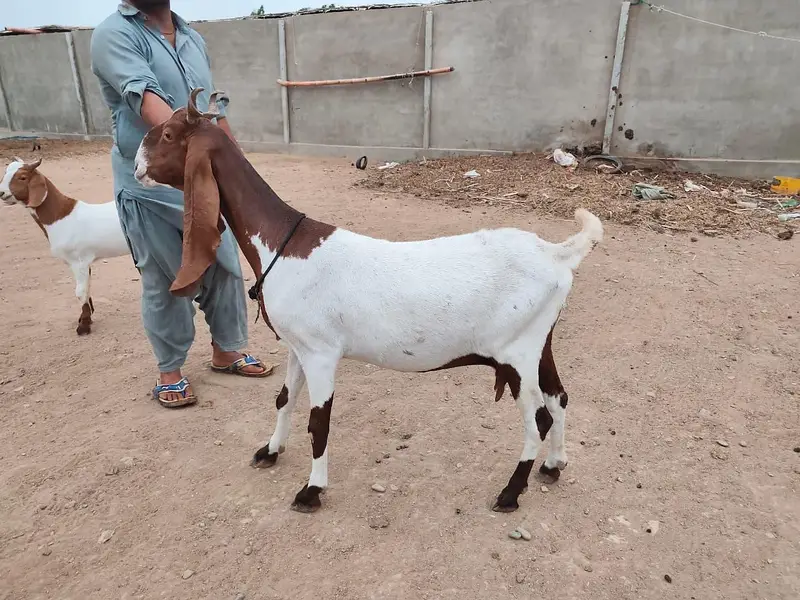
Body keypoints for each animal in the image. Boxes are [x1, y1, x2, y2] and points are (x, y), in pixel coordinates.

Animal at [0, 158, 130, 335]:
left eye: (22, 177)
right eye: (5, 172)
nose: (1, 193)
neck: (61, 215)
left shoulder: (78, 261)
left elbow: (80, 292)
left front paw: (84, 327)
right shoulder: (83, 262)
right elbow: (87, 288)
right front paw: (85, 318)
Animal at [134, 88, 603, 514]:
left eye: (170, 134)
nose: (136, 167)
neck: (282, 244)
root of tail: (557, 254)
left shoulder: (322, 352)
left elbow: (319, 422)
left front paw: (312, 491)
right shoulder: (297, 347)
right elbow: (284, 400)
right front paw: (269, 451)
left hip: (516, 352)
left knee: (538, 417)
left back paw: (510, 494)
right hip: (539, 342)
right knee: (559, 398)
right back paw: (553, 466)